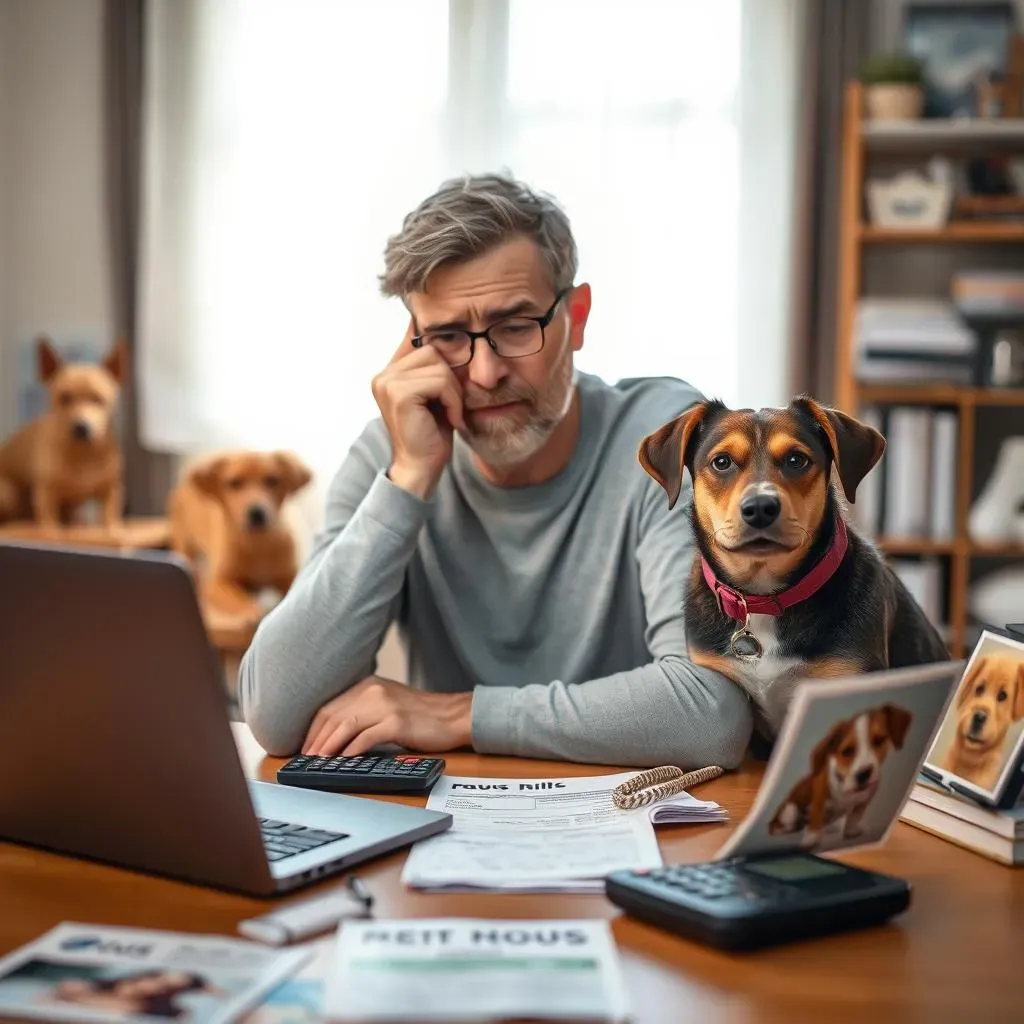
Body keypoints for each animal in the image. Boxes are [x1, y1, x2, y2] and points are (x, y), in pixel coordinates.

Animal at [770, 704, 913, 847]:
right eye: (847, 751)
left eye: (879, 740)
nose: (863, 774)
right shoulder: (819, 798)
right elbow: (816, 818)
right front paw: (812, 838)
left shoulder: (864, 801)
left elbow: (854, 817)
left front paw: (850, 831)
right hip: (790, 810)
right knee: (785, 826)